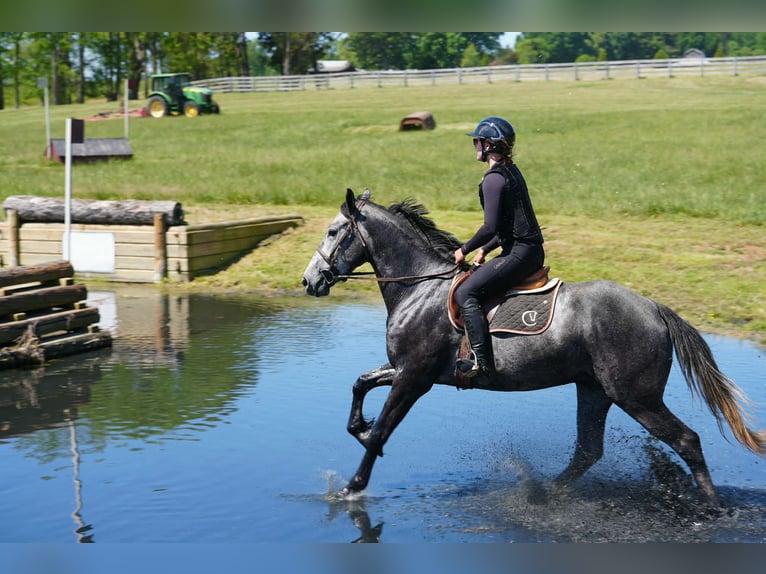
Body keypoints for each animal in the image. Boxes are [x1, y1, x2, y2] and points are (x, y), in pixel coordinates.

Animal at [301, 188, 765, 505]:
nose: (309, 281)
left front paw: (351, 487)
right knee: (588, 451)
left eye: (333, 231)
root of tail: (653, 307)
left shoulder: (415, 378)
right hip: (594, 391)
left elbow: (383, 428)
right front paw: (359, 429)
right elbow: (361, 383)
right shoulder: (410, 371)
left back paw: (711, 507)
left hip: (636, 397)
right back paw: (543, 492)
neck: (419, 287)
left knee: (686, 441)